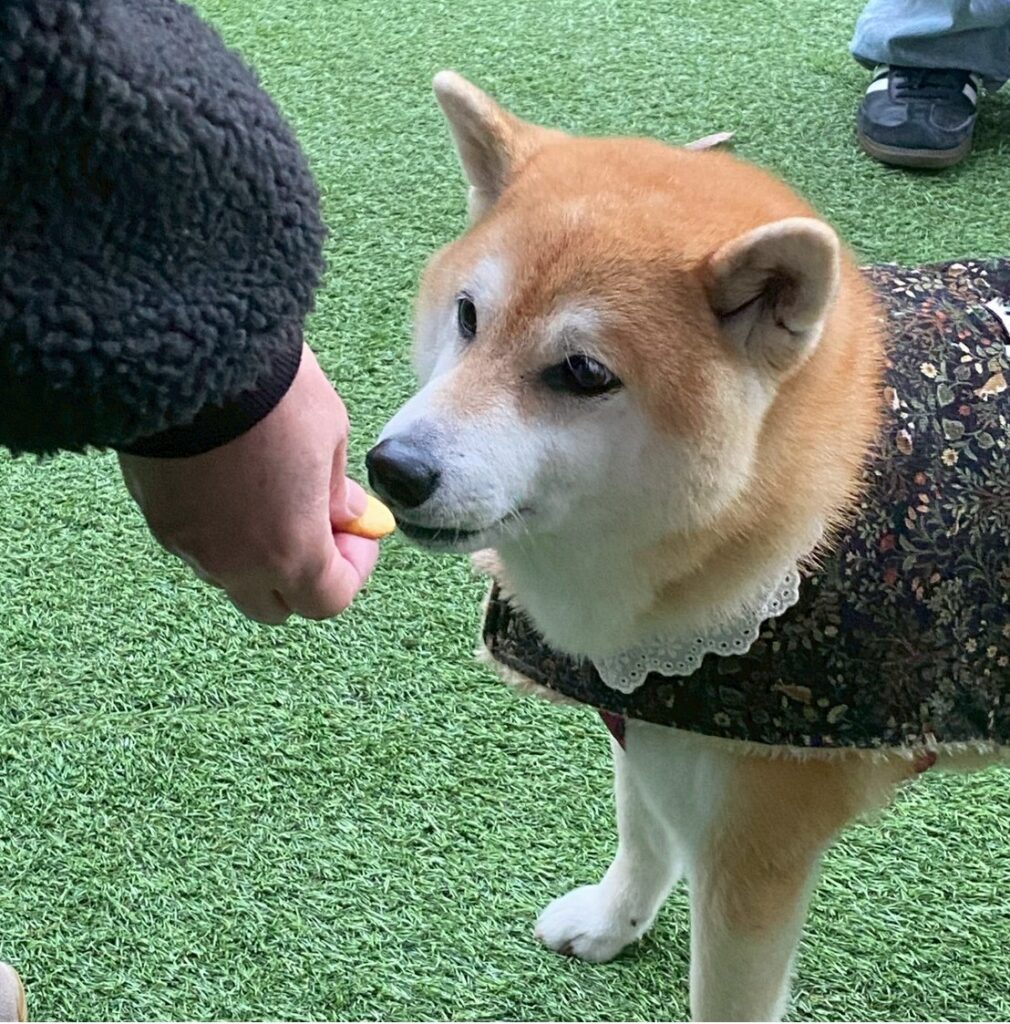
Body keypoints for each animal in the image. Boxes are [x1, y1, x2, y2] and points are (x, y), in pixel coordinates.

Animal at [367, 72, 1010, 1021]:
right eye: (469, 316)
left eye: (583, 373)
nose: (391, 468)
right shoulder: (647, 719)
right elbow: (642, 835)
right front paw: (616, 920)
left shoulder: (754, 853)